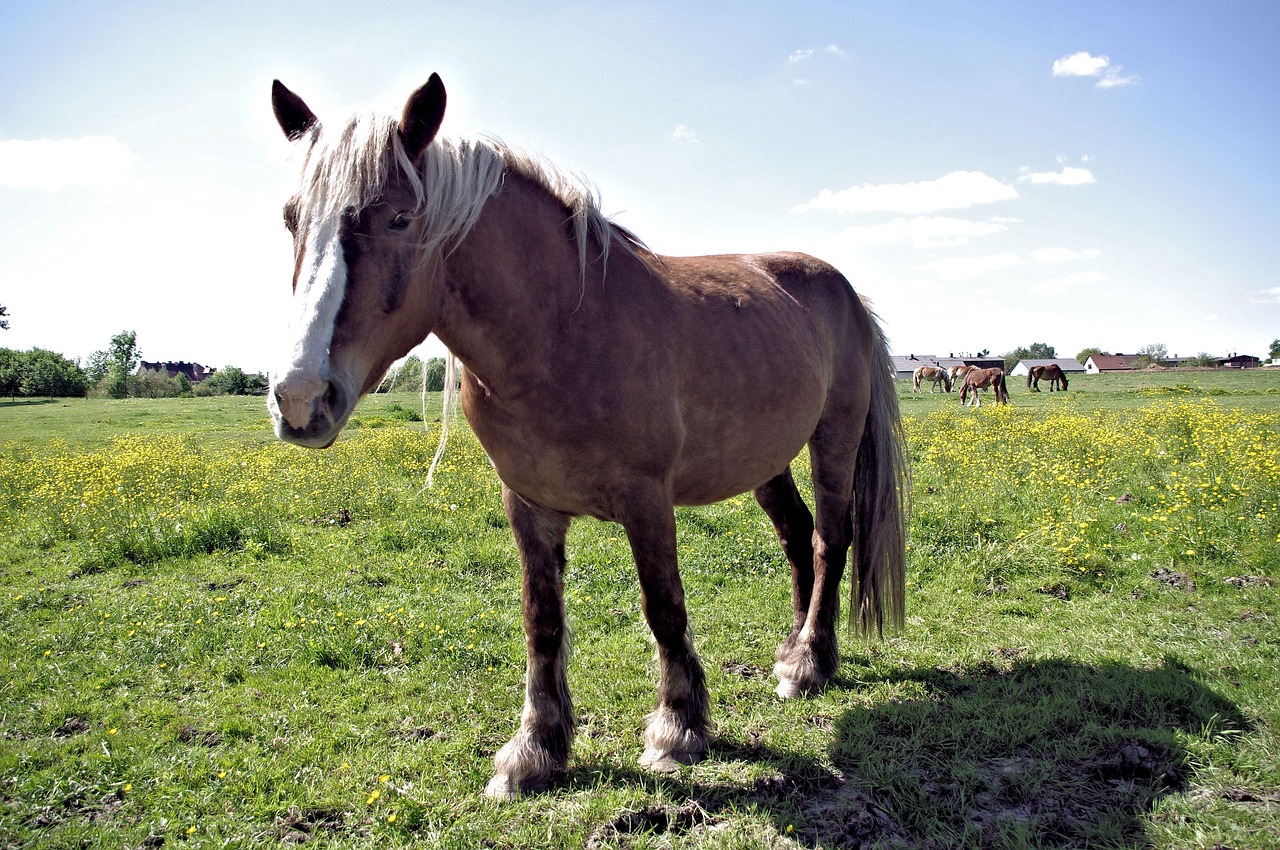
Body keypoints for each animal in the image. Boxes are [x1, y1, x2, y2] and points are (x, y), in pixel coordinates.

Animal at [266, 76, 908, 798]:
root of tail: (845, 292)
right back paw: (790, 648)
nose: (299, 397)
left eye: (401, 218)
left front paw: (677, 729)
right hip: (765, 459)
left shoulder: (647, 500)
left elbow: (663, 607)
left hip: (833, 439)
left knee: (829, 541)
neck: (560, 330)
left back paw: (810, 664)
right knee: (797, 537)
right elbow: (541, 620)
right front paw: (536, 748)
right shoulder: (528, 504)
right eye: (292, 218)